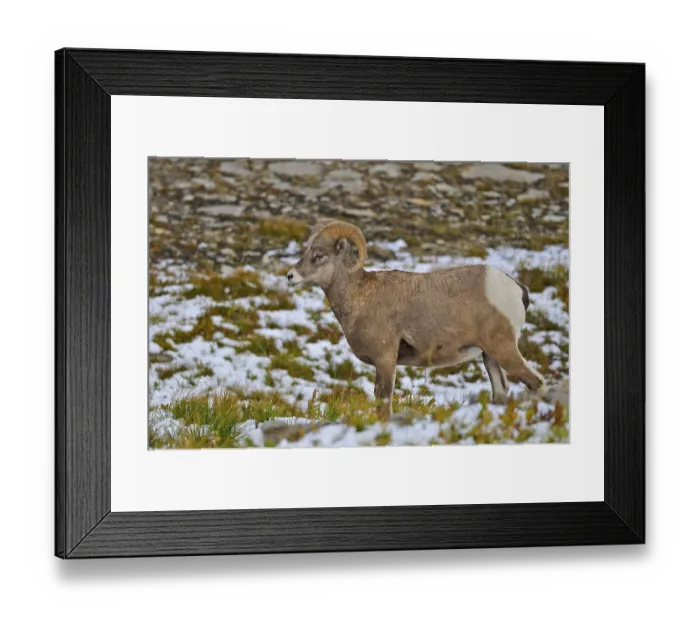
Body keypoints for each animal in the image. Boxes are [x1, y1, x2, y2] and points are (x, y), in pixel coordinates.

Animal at [287, 220, 547, 419]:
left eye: (319, 256)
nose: (290, 276)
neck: (360, 298)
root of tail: (517, 288)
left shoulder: (385, 361)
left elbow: (384, 404)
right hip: (489, 355)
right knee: (501, 391)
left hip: (504, 349)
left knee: (536, 382)